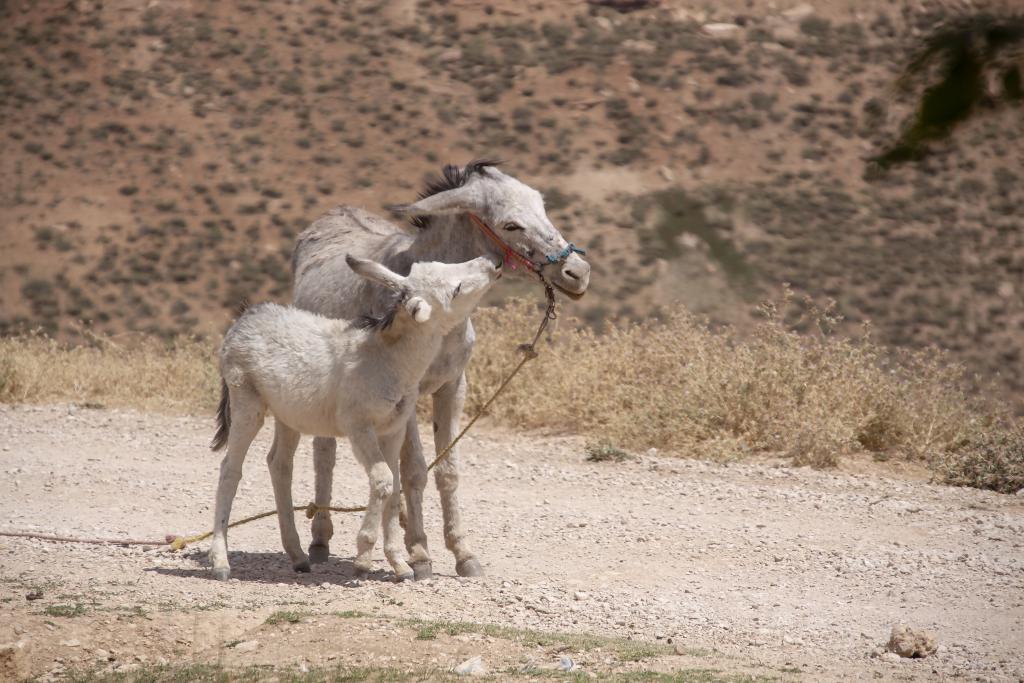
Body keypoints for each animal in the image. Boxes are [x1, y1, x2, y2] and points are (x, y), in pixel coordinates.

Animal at [206, 255, 499, 581]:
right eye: (456, 289)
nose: (491, 262)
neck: (387, 358)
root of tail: (247, 316)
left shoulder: (393, 429)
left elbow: (394, 486)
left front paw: (398, 563)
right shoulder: (358, 428)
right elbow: (382, 480)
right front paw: (364, 557)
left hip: (287, 415)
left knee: (279, 465)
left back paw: (297, 555)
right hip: (247, 403)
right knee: (230, 469)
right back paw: (220, 562)